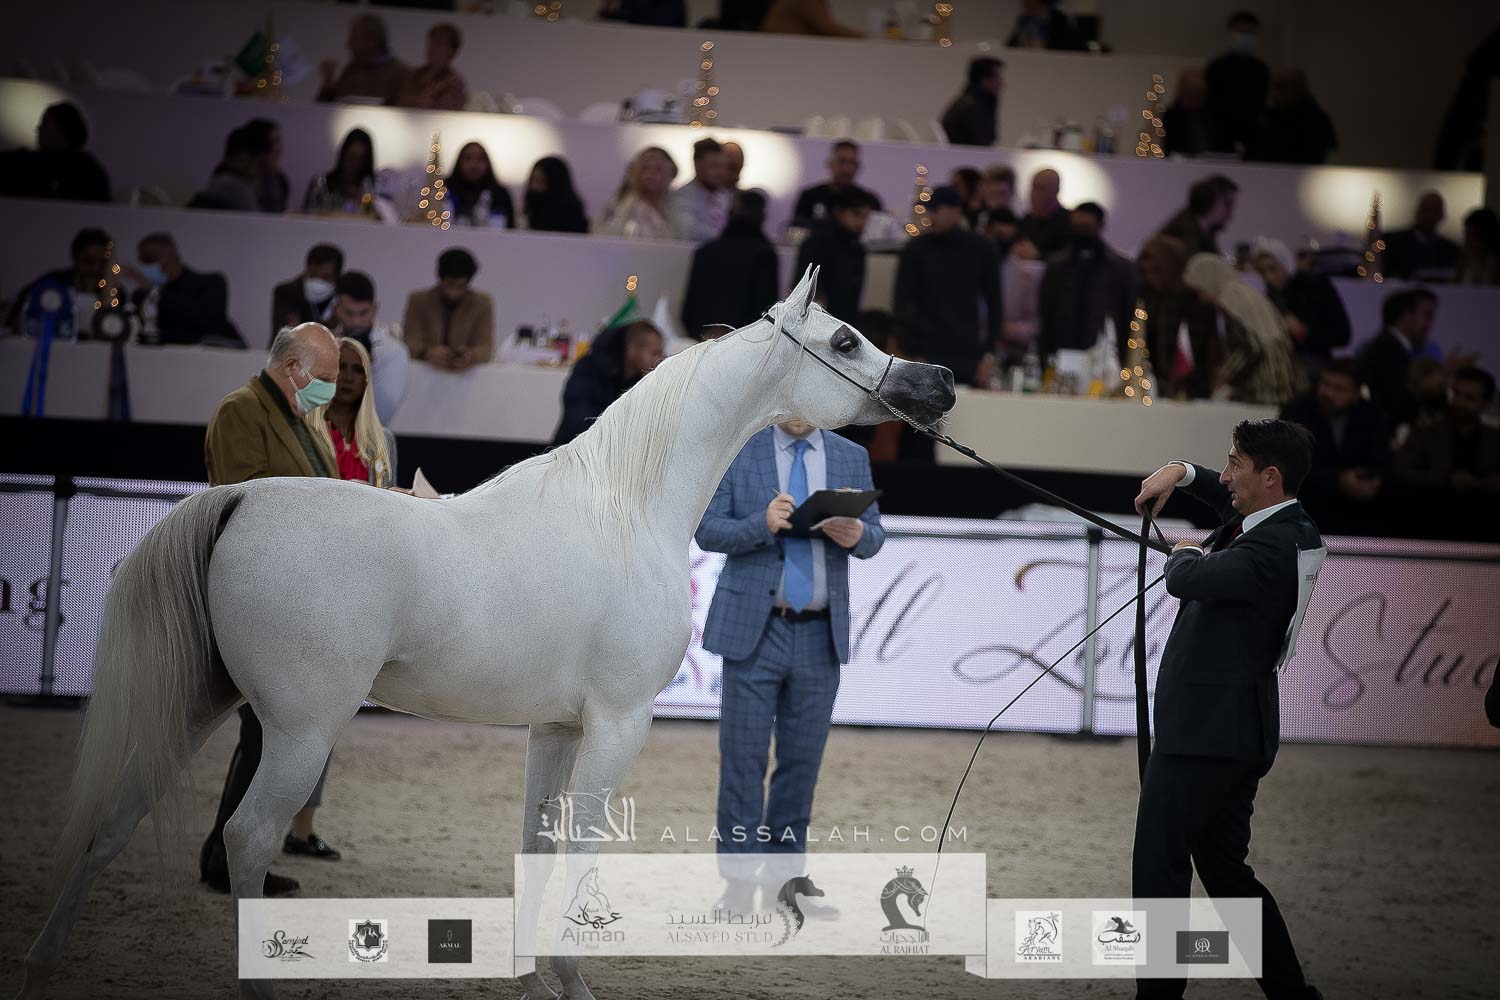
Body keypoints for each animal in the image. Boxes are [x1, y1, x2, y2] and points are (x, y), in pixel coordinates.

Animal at [18, 265, 956, 1000]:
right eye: (844, 340)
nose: (940, 381)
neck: (624, 508)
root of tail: (239, 498)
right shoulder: (618, 724)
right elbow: (582, 844)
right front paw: (575, 977)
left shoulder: (556, 728)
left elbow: (536, 845)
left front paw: (534, 974)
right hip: (300, 729)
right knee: (247, 837)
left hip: (196, 703)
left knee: (116, 815)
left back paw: (45, 961)